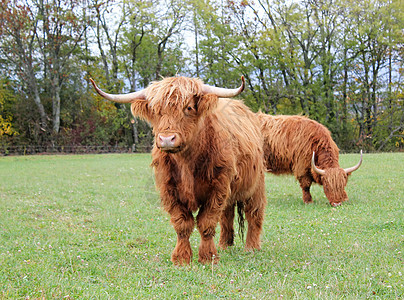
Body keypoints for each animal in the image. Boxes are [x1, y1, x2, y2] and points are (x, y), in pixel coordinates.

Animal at [91, 76, 268, 264]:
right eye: (155, 110)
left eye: (188, 107)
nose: (167, 139)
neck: (187, 163)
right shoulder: (169, 190)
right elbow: (182, 224)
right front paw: (181, 258)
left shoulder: (217, 188)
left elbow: (206, 222)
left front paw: (208, 257)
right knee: (227, 215)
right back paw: (224, 245)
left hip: (256, 185)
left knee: (254, 214)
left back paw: (251, 247)